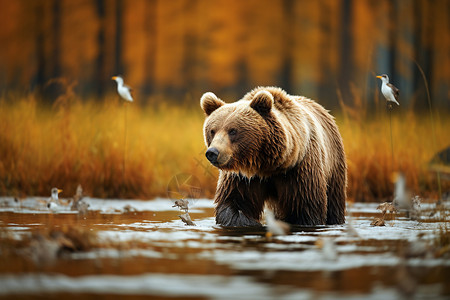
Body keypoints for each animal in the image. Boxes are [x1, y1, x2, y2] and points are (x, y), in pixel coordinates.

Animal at [199, 86, 346, 227]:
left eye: (233, 131)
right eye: (212, 131)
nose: (213, 152)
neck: (268, 166)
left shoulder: (299, 169)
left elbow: (306, 205)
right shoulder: (242, 177)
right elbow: (234, 202)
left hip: (334, 163)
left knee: (334, 200)